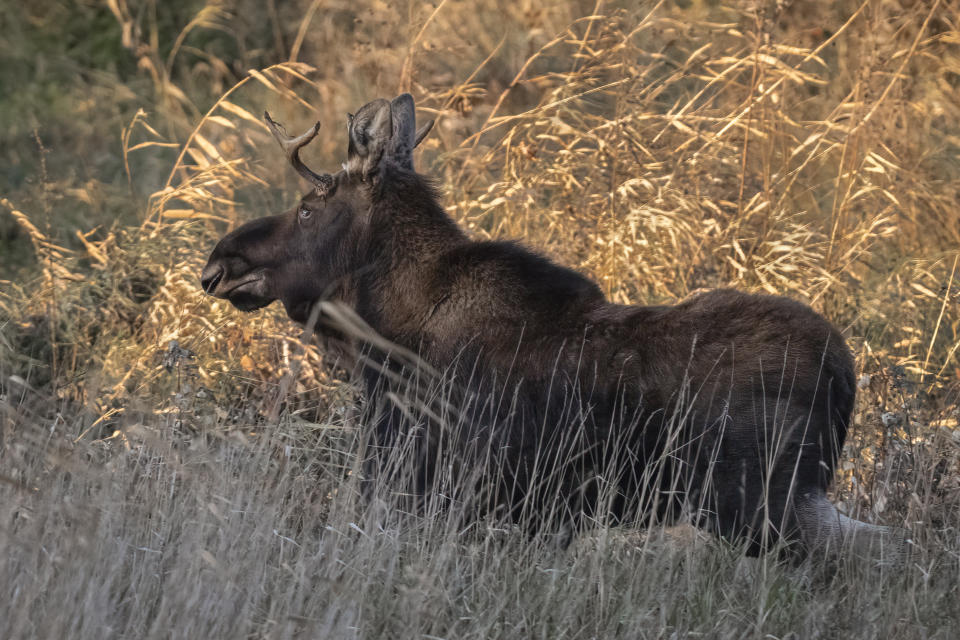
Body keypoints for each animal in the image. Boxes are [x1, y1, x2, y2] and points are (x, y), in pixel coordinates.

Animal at [201, 92, 900, 556]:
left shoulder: (436, 481)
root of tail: (845, 373)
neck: (386, 334)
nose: (218, 262)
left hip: (767, 502)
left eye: (309, 207)